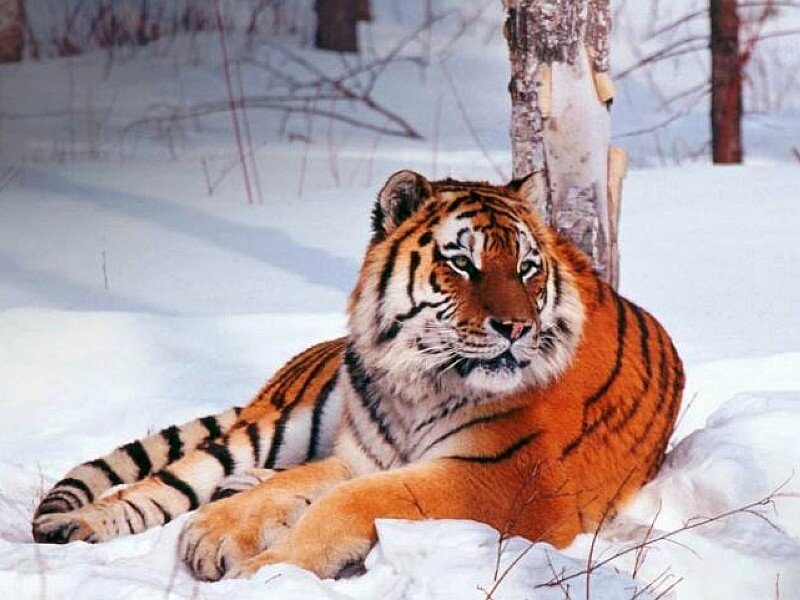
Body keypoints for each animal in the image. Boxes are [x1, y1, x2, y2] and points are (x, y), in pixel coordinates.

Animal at [32, 170, 684, 581]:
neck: (418, 381)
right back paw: (74, 526)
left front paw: (265, 572)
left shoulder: (500, 479)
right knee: (167, 484)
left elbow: (348, 500)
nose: (517, 328)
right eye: (462, 263)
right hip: (270, 426)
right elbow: (302, 485)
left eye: (527, 268)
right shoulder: (364, 456)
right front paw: (215, 533)